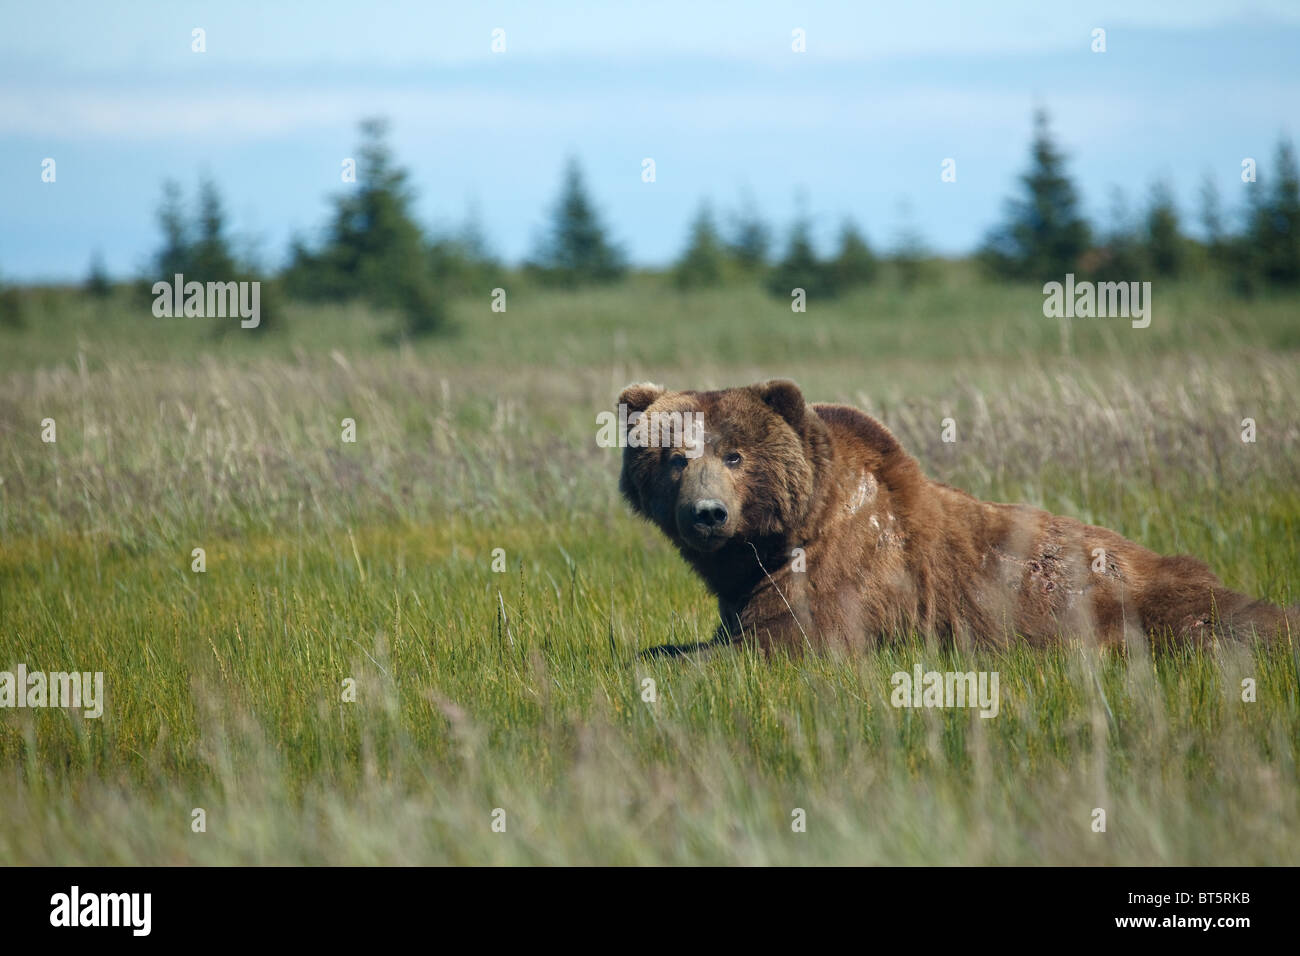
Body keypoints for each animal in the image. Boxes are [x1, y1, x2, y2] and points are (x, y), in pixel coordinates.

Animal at [616, 377, 1289, 655]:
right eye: (674, 459)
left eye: (735, 455)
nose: (707, 514)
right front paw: (658, 651)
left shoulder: (844, 573)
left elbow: (787, 641)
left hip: (1136, 601)